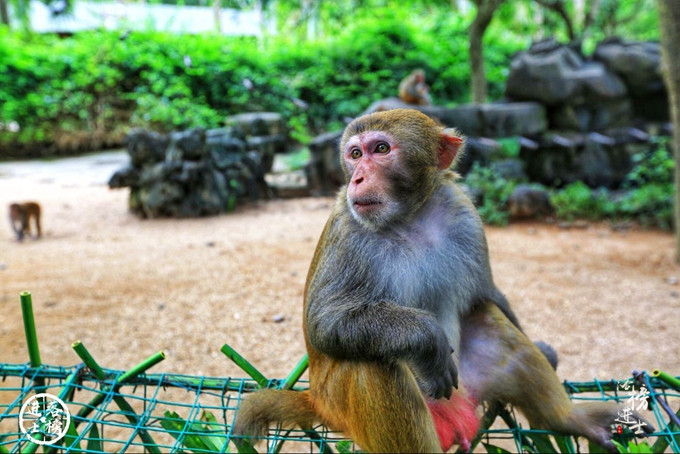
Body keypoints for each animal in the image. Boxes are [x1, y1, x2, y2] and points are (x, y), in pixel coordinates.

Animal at [232, 111, 648, 454]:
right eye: (354, 154)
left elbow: (486, 294)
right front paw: (427, 340)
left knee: (488, 320)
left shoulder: (463, 214)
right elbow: (324, 323)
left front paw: (545, 351)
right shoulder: (348, 231)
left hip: (466, 383)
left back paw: (569, 419)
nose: (358, 177)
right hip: (347, 408)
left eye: (380, 149)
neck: (409, 218)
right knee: (371, 362)